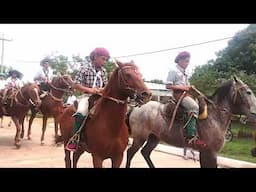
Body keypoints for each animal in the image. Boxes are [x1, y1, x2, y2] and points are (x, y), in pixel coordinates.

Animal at [125, 76, 256, 168]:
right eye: (248, 92)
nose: (254, 112)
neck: (215, 116)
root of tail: (135, 107)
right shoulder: (209, 152)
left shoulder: (207, 153)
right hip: (140, 137)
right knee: (130, 152)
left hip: (154, 137)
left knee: (145, 152)